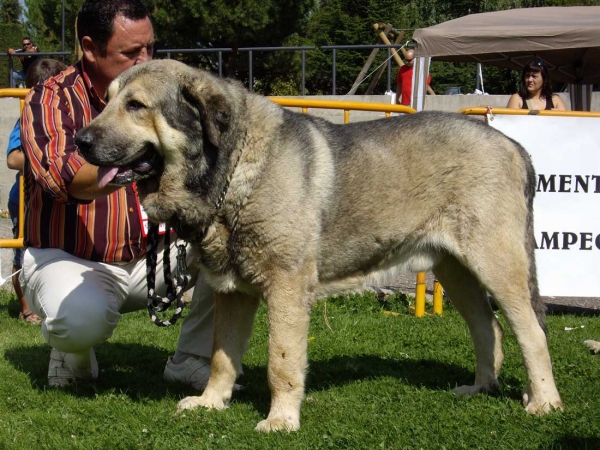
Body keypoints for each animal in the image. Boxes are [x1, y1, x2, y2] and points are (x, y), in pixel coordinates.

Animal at [75, 59, 564, 428]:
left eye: (136, 105)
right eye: (106, 100)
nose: (80, 139)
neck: (233, 167)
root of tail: (514, 145)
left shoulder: (287, 287)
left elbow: (282, 361)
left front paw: (280, 420)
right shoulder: (231, 291)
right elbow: (221, 356)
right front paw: (211, 403)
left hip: (498, 265)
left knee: (531, 331)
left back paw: (544, 401)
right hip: (453, 268)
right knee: (487, 326)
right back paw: (480, 387)